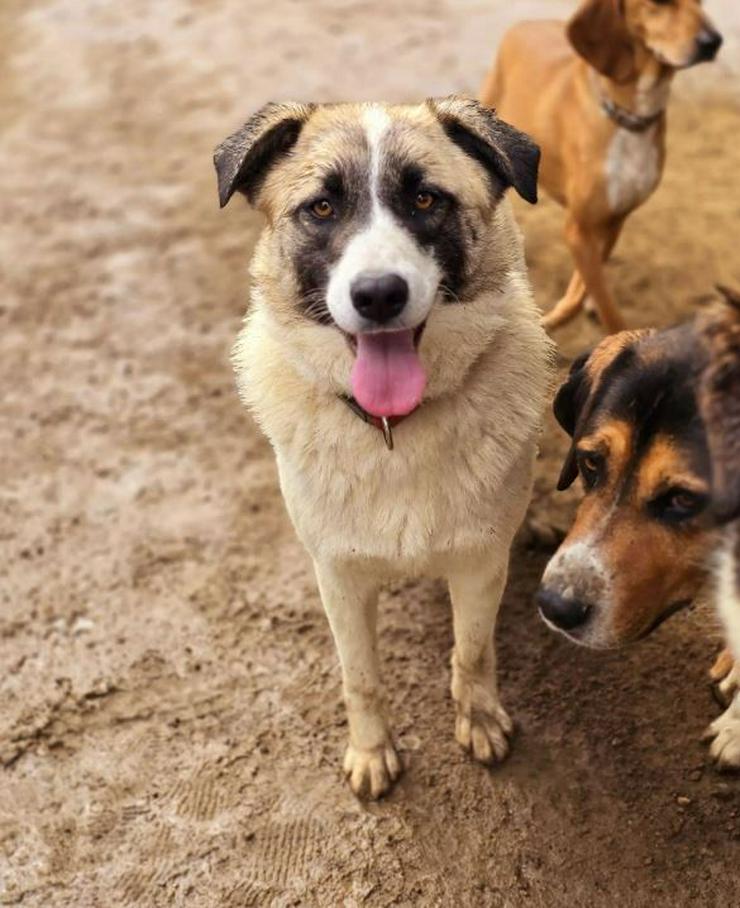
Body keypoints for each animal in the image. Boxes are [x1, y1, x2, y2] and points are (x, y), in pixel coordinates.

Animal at [217, 97, 552, 796]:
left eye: (425, 199)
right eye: (321, 207)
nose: (377, 295)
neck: (395, 429)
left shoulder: (480, 565)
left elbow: (472, 651)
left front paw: (479, 720)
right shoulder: (340, 579)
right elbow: (361, 677)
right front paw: (372, 752)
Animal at [480, 0, 724, 334]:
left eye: (702, 3)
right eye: (659, 3)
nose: (713, 42)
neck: (630, 120)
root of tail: (524, 23)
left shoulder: (613, 219)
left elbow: (587, 284)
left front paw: (578, 305)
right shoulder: (579, 229)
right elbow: (606, 306)